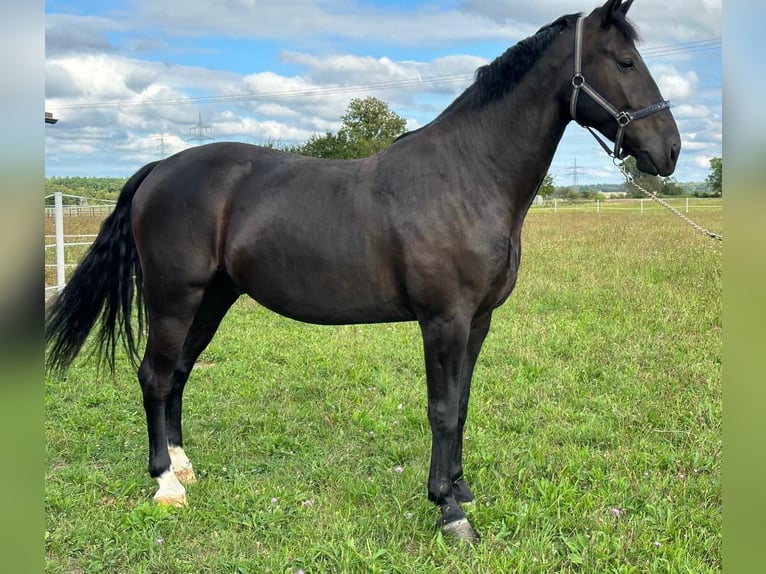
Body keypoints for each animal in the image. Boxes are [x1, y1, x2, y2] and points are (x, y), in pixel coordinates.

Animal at [48, 0, 680, 548]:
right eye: (626, 62)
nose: (670, 150)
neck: (467, 176)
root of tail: (160, 169)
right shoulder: (443, 321)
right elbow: (442, 409)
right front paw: (449, 512)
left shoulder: (477, 321)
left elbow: (462, 404)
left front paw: (462, 490)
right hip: (173, 298)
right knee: (154, 377)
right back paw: (165, 484)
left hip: (212, 298)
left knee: (177, 374)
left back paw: (184, 467)